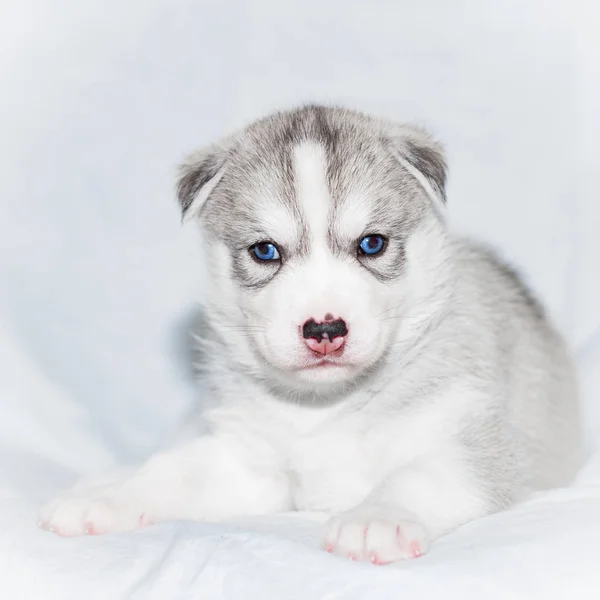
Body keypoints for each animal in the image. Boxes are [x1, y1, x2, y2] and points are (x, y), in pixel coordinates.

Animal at [38, 106, 580, 564]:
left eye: (372, 244)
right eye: (265, 251)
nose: (325, 329)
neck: (326, 407)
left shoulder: (472, 443)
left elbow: (417, 476)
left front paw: (374, 519)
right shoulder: (248, 464)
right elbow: (170, 470)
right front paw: (111, 499)